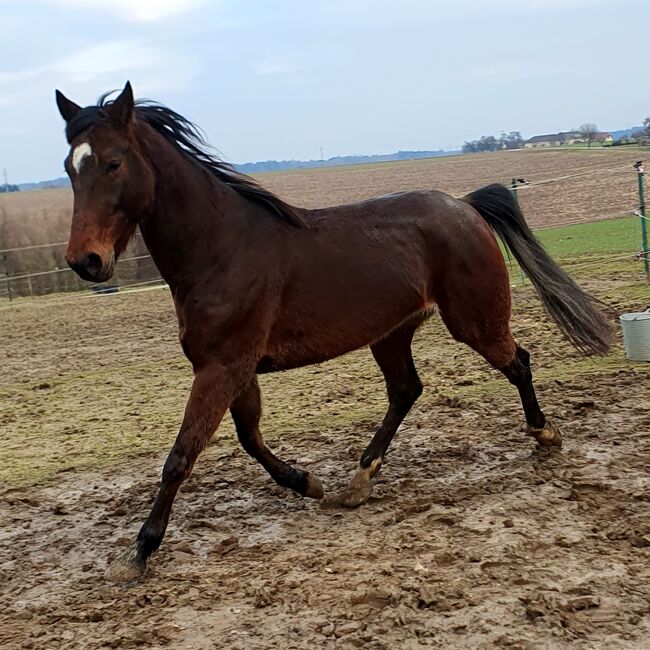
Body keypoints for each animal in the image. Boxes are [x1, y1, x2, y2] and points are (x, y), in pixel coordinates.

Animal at [54, 82, 608, 584]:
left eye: (113, 163)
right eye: (69, 167)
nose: (85, 262)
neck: (220, 249)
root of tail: (465, 206)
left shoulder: (222, 366)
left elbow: (181, 455)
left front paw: (138, 553)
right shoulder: (234, 369)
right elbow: (249, 438)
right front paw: (308, 483)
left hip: (474, 322)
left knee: (518, 362)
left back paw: (545, 436)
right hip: (392, 334)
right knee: (406, 390)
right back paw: (358, 481)